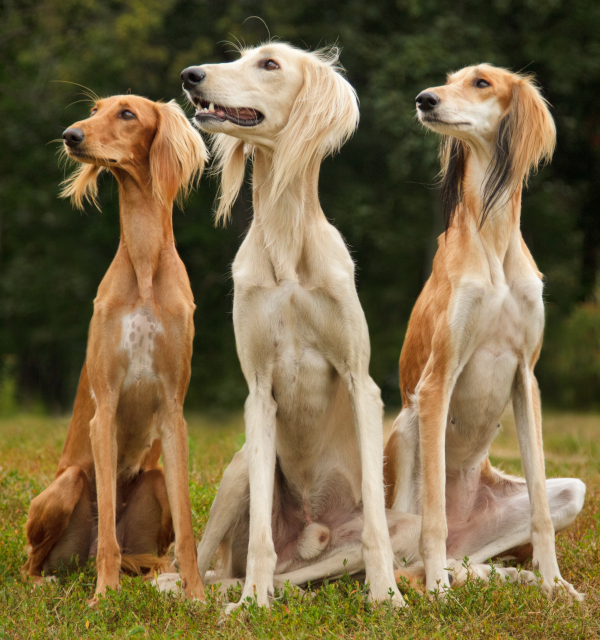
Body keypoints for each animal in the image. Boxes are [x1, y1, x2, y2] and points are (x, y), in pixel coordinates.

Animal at [22, 94, 209, 600]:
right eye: (95, 109)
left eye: (127, 113)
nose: (70, 135)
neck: (144, 268)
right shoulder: (103, 409)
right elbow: (106, 524)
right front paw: (104, 597)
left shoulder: (174, 410)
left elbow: (188, 529)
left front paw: (197, 595)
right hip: (66, 486)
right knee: (35, 562)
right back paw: (56, 580)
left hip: (155, 481)